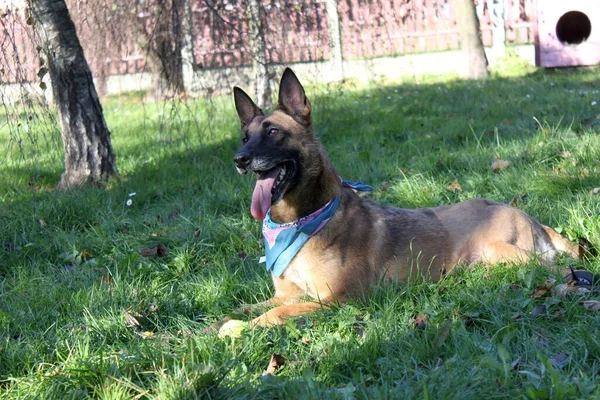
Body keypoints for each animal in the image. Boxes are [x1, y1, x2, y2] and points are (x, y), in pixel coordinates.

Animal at [223, 68, 580, 332]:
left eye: (273, 133)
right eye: (245, 137)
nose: (239, 159)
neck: (300, 220)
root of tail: (530, 217)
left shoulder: (339, 299)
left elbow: (277, 313)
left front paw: (244, 328)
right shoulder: (286, 294)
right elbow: (242, 307)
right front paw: (217, 324)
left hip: (501, 251)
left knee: (558, 266)